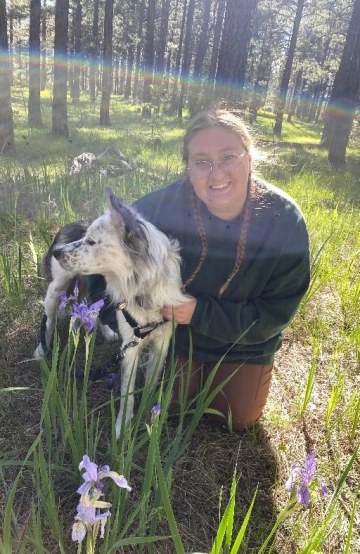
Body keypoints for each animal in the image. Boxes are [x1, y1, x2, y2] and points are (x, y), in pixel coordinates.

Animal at [34, 189, 190, 436]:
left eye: (91, 241)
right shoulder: (131, 347)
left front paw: (149, 417)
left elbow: (150, 384)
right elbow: (127, 394)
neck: (142, 291)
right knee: (48, 320)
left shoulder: (161, 343)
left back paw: (107, 333)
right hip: (55, 289)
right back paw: (42, 349)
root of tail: (69, 224)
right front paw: (122, 429)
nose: (56, 252)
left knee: (92, 309)